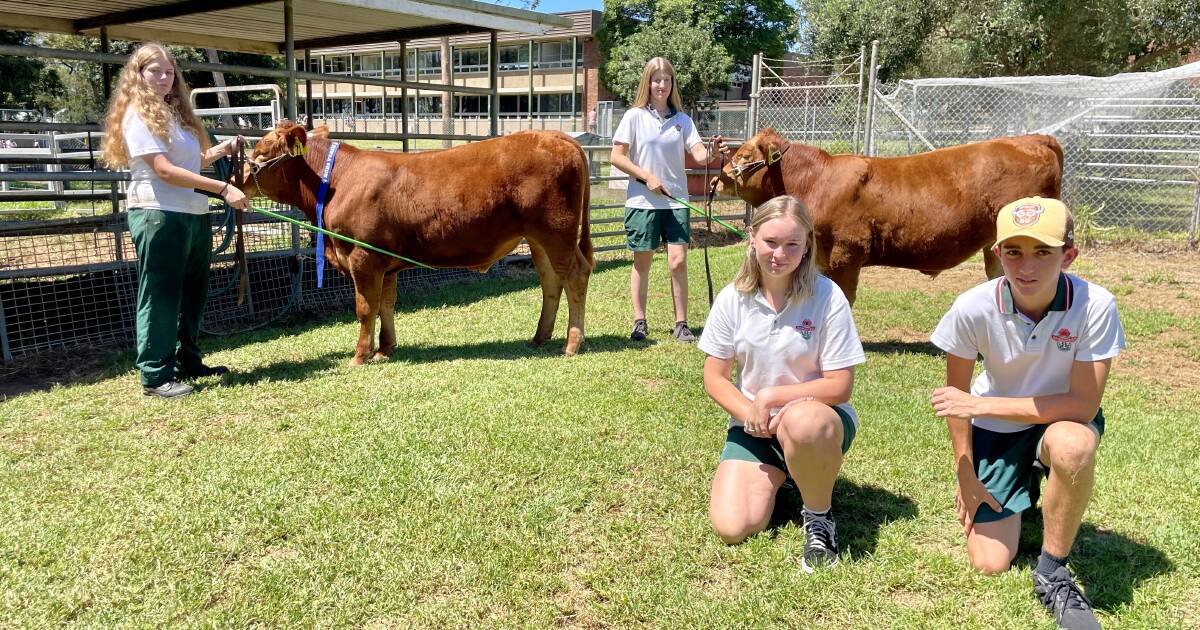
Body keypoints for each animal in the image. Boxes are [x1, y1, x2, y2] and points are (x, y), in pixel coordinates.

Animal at [241, 122, 592, 362]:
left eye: (261, 152)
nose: (237, 179)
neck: (337, 182)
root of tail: (556, 136)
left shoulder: (363, 256)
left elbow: (365, 307)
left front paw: (360, 355)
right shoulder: (383, 262)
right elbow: (386, 304)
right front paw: (385, 349)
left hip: (556, 232)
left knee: (576, 275)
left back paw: (572, 344)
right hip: (537, 239)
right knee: (551, 282)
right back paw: (539, 337)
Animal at [710, 127, 1060, 302]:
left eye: (744, 154)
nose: (717, 179)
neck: (816, 180)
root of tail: (1032, 139)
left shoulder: (846, 253)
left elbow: (845, 296)